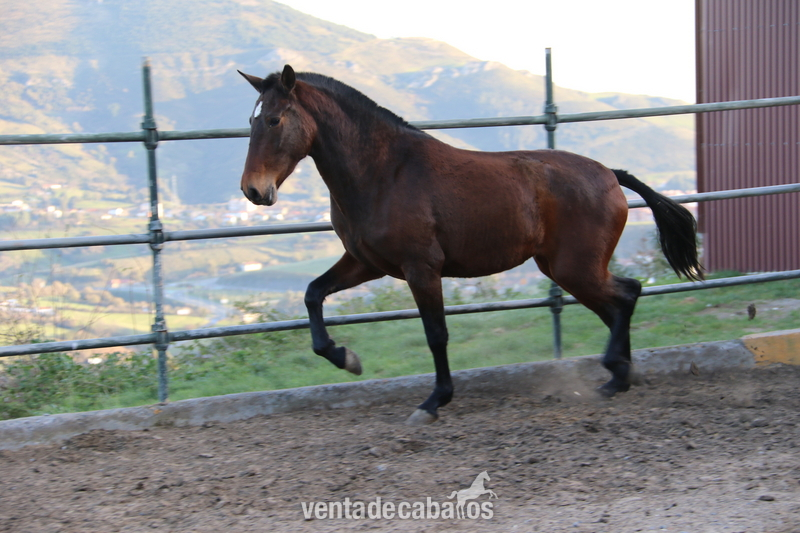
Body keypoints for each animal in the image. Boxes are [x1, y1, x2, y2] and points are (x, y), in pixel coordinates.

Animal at [237, 64, 703, 425]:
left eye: (274, 120)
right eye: (251, 121)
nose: (254, 191)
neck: (384, 172)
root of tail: (610, 174)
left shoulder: (421, 268)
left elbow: (436, 334)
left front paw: (433, 402)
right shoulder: (365, 262)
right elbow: (313, 294)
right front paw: (346, 358)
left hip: (576, 268)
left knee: (626, 296)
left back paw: (615, 373)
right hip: (563, 268)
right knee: (621, 300)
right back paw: (620, 377)